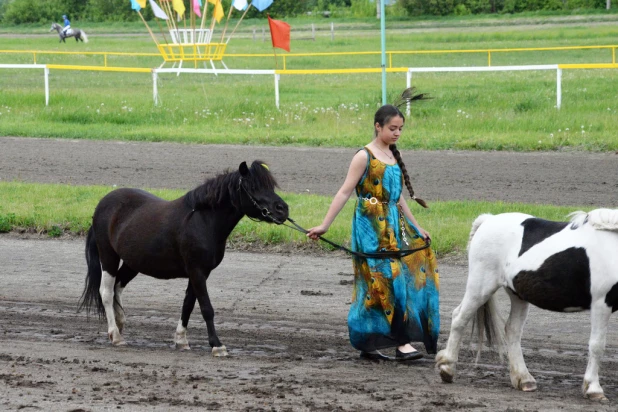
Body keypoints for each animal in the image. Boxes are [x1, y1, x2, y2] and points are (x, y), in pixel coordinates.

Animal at [78, 161, 288, 358]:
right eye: (252, 187)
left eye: (270, 185)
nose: (283, 210)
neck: (202, 221)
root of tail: (102, 204)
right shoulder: (197, 271)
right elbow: (206, 308)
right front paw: (217, 345)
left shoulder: (200, 272)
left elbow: (188, 304)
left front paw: (181, 340)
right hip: (108, 256)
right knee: (106, 292)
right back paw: (116, 335)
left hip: (133, 262)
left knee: (117, 287)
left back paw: (120, 323)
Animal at [436, 208, 616, 400]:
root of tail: (487, 220)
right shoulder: (601, 303)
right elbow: (597, 345)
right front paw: (594, 389)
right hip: (481, 287)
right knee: (459, 318)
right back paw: (447, 368)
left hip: (517, 295)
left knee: (512, 330)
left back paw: (524, 379)